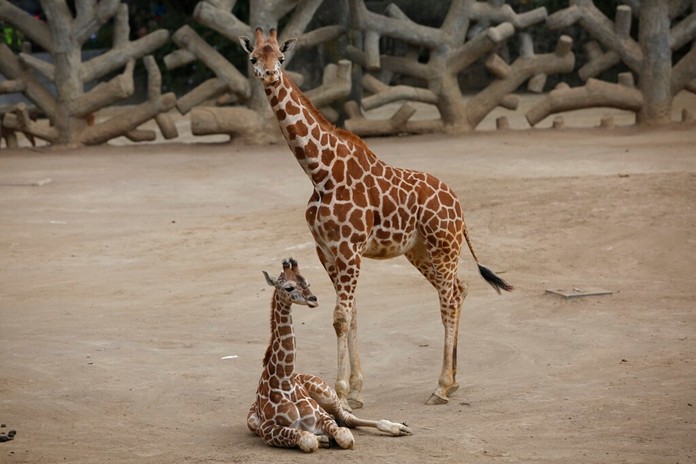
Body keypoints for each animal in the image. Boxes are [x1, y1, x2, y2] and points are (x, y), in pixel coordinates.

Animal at [239, 28, 513, 409]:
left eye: (280, 57)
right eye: (253, 57)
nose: (268, 74)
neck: (320, 172)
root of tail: (459, 206)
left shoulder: (349, 249)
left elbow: (340, 317)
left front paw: (340, 391)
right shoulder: (328, 251)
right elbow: (352, 314)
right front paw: (355, 391)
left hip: (444, 246)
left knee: (449, 299)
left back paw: (441, 386)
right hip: (420, 252)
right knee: (460, 289)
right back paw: (455, 381)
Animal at [247, 258, 411, 452]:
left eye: (308, 283)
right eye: (289, 287)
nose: (313, 299)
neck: (284, 381)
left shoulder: (322, 416)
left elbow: (345, 437)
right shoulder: (267, 429)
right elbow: (308, 440)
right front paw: (322, 439)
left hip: (327, 394)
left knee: (348, 418)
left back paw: (399, 428)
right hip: (252, 422)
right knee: (344, 421)